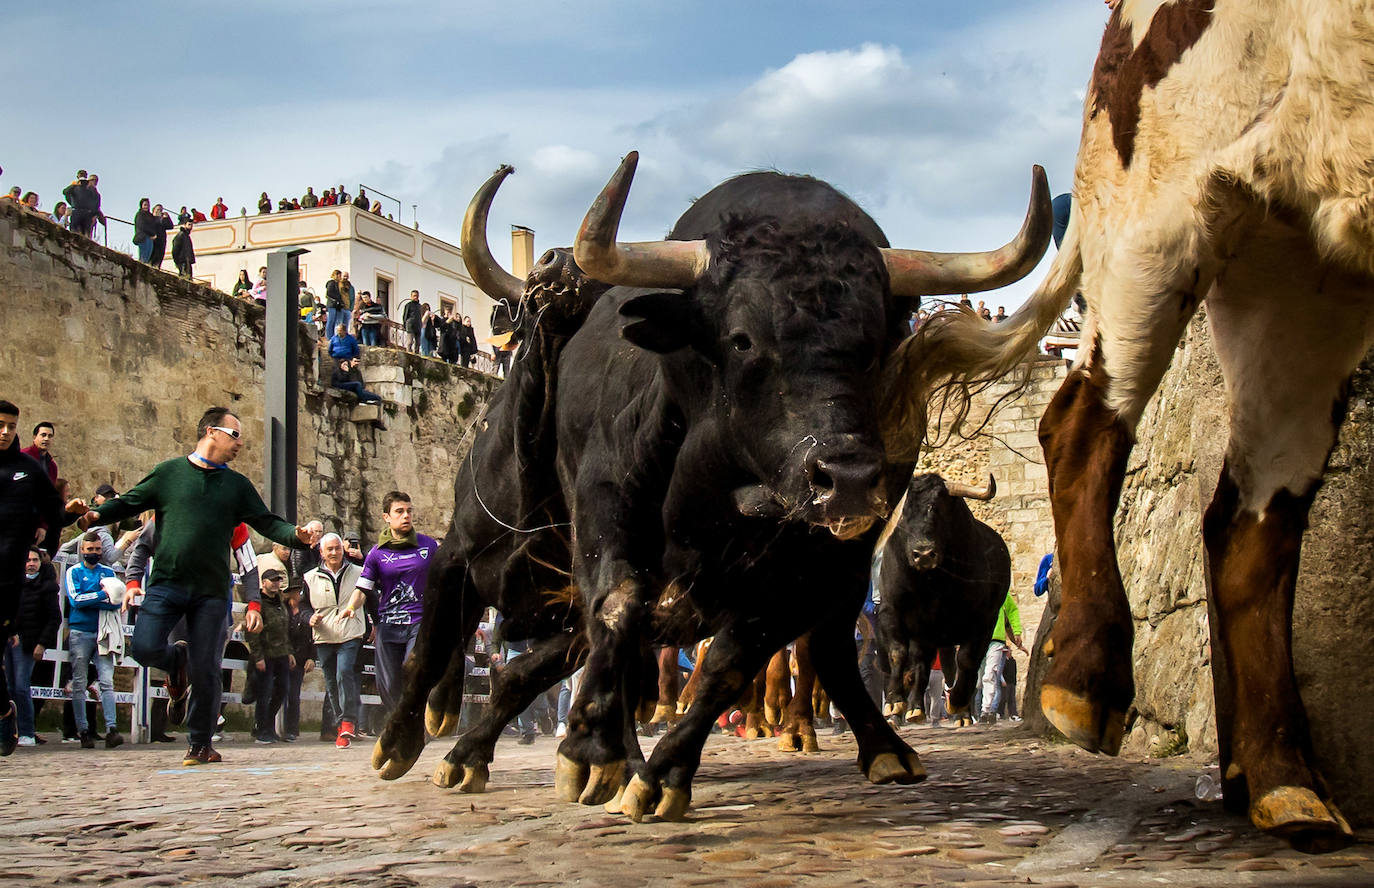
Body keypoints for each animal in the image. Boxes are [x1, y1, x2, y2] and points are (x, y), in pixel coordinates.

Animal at [370, 151, 1044, 819]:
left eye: (877, 344)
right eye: (742, 338)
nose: (848, 480)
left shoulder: (797, 576)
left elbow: (726, 668)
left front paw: (653, 772)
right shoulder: (507, 538)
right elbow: (551, 619)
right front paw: (567, 749)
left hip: (843, 574)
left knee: (829, 651)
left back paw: (882, 747)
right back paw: (460, 743)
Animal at [895, 0, 1374, 846]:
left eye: (945, 512)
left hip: (1297, 277)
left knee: (1246, 519)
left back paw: (1281, 782)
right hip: (1163, 208)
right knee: (1082, 422)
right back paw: (1091, 685)